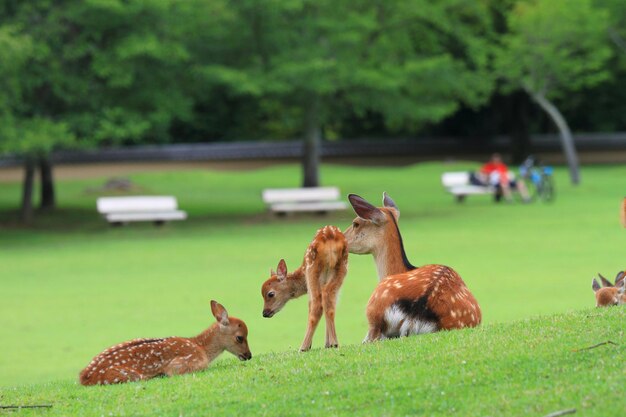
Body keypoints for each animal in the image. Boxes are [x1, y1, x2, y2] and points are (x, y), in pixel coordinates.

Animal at [79, 300, 250, 384]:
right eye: (240, 337)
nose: (249, 355)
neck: (201, 347)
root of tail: (83, 376)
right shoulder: (185, 363)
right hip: (128, 375)